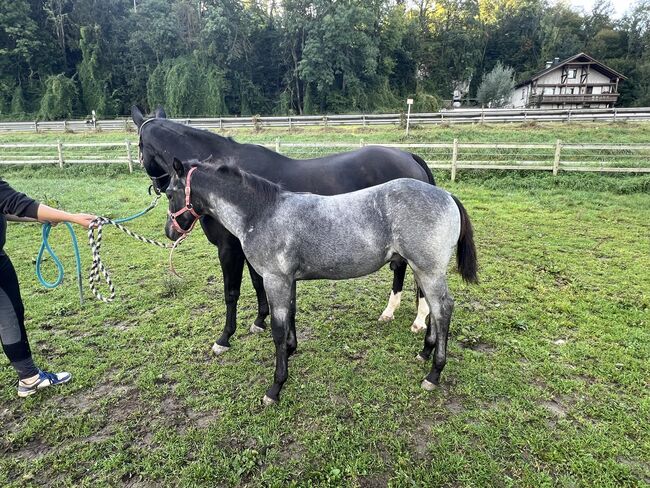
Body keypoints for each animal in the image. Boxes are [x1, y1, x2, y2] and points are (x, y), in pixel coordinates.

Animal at [130, 106, 436, 354]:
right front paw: (259, 321)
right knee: (400, 269)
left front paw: (224, 338)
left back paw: (419, 319)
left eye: (140, 146)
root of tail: (408, 156)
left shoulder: (229, 249)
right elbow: (257, 284)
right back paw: (391, 311)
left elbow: (231, 292)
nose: (170, 229)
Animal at [165, 159, 474, 404]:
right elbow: (290, 316)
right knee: (434, 308)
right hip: (423, 270)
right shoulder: (287, 280)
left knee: (443, 309)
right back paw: (425, 352)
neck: (262, 212)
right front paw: (291, 351)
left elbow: (278, 330)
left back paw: (434, 373)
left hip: (428, 270)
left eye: (169, 192)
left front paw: (275, 387)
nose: (170, 232)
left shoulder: (275, 280)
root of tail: (447, 195)